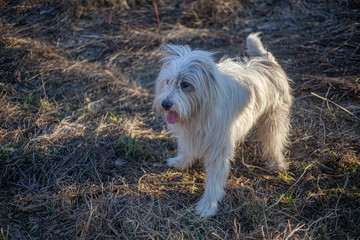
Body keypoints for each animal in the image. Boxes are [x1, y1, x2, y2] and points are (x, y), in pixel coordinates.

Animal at [153, 32, 292, 217]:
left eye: (185, 84)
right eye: (168, 81)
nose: (165, 104)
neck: (198, 110)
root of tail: (265, 59)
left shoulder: (218, 148)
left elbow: (214, 179)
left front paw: (207, 205)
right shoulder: (190, 134)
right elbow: (187, 150)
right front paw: (181, 162)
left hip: (274, 118)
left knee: (274, 141)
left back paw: (276, 163)